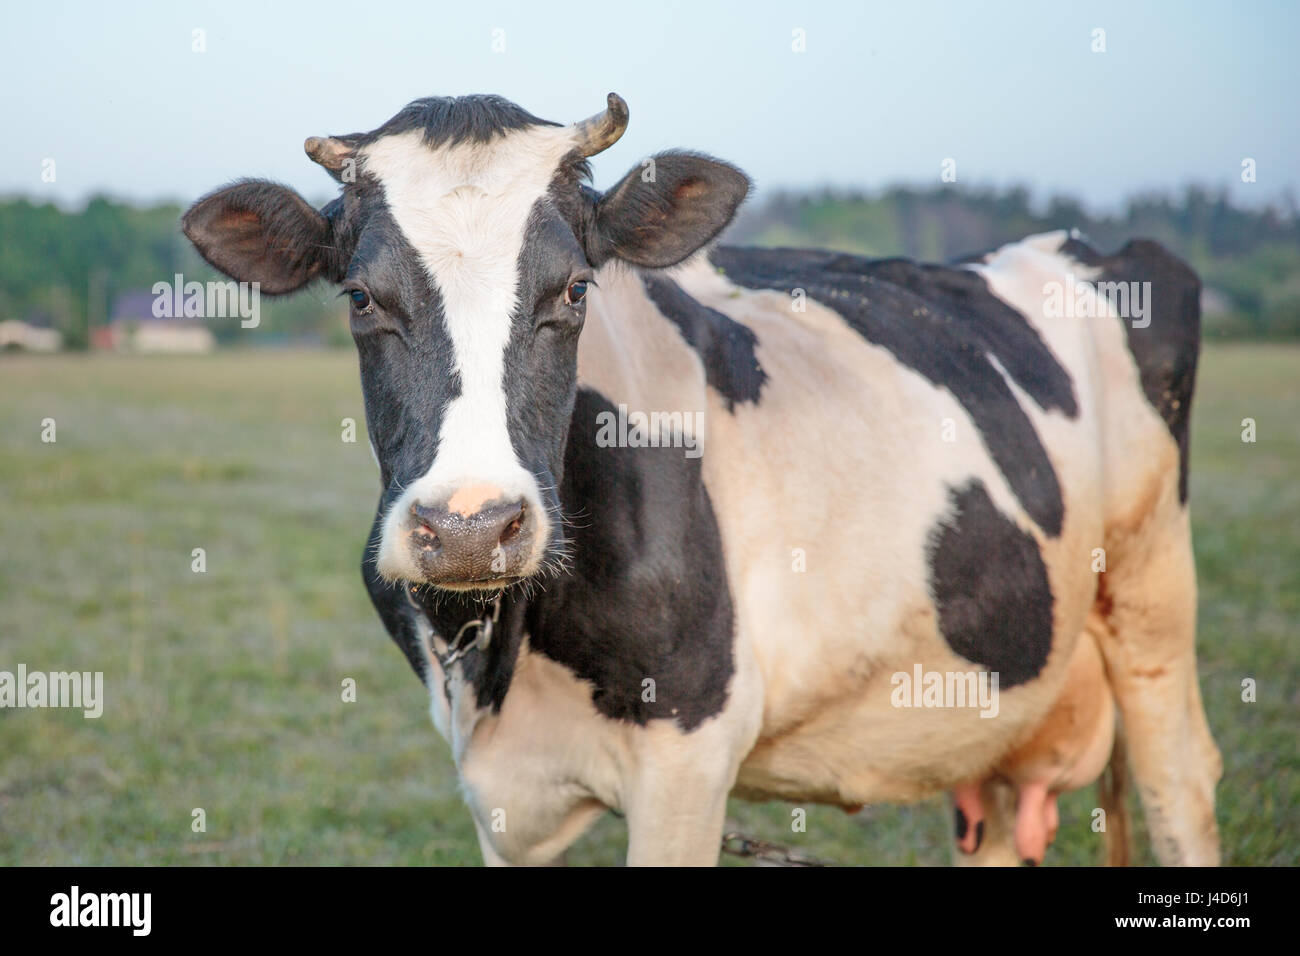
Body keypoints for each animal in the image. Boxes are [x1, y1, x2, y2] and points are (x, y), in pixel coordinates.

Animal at [182, 92, 1222, 866]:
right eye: (361, 297)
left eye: (575, 289)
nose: (472, 528)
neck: (502, 648)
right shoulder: (500, 793)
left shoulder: (687, 761)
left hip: (1152, 600)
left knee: (1182, 782)